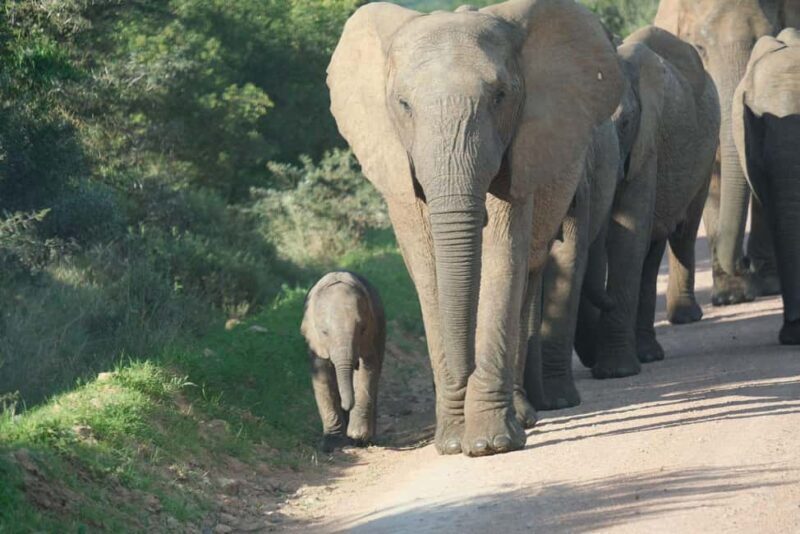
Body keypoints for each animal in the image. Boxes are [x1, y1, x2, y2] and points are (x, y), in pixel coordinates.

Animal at [301, 271, 386, 452]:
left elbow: (367, 370)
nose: (346, 405)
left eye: (362, 329)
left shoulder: (371, 332)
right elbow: (322, 376)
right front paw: (331, 444)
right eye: (324, 332)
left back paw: (367, 440)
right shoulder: (316, 343)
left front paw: (357, 436)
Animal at [327, 0, 623, 456]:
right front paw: (452, 443)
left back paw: (523, 415)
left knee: (528, 277)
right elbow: (428, 271)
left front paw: (488, 444)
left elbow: (502, 256)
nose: (464, 391)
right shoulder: (397, 163)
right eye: (403, 104)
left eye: (500, 97)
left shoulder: (519, 148)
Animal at [575, 26, 720, 378]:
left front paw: (616, 372)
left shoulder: (647, 142)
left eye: (626, 123)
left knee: (680, 234)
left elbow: (627, 237)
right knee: (653, 250)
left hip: (707, 148)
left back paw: (672, 330)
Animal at [655, 0, 800, 307]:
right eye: (699, 48)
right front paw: (730, 296)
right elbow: (714, 172)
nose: (745, 263)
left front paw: (769, 283)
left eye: (762, 40)